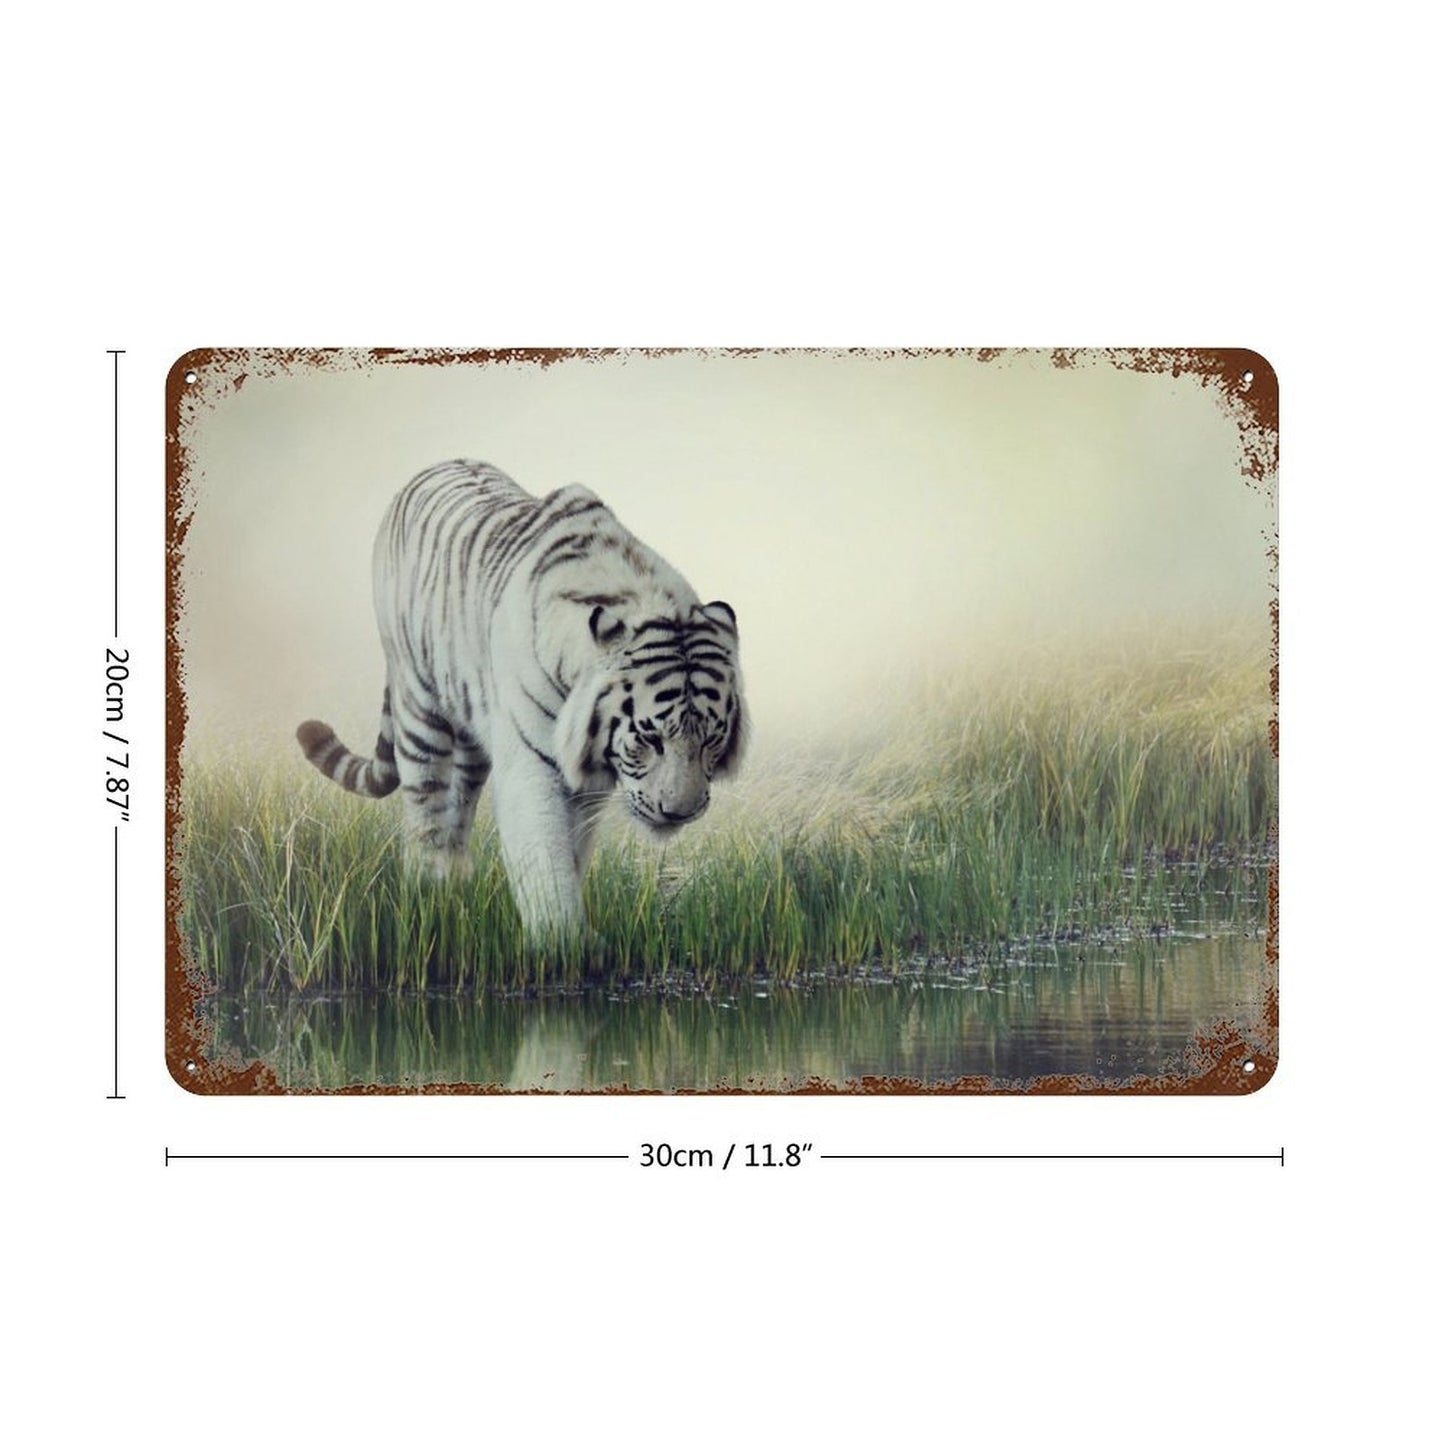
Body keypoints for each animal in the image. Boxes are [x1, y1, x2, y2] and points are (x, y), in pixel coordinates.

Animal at [296, 460, 747, 936]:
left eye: (711, 739)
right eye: (649, 739)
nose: (678, 813)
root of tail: (433, 467)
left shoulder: (586, 783)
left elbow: (572, 851)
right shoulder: (532, 764)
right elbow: (545, 856)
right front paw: (563, 940)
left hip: (473, 731)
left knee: (459, 804)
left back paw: (457, 882)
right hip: (418, 705)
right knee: (425, 805)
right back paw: (427, 889)